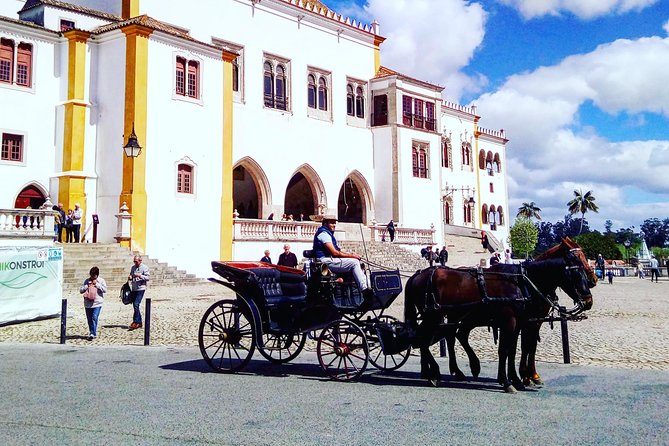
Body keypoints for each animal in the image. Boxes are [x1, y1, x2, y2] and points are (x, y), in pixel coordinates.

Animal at [404, 249, 592, 392]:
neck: (522, 282)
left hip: (453, 316)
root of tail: (418, 275)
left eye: (585, 270)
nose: (589, 301)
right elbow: (506, 350)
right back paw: (434, 372)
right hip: (434, 316)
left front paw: (519, 379)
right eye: (575, 273)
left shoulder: (522, 322)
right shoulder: (511, 321)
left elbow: (516, 350)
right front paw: (510, 381)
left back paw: (449, 370)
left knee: (448, 336)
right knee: (423, 339)